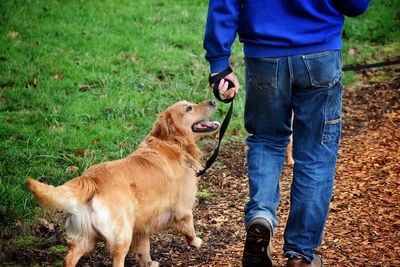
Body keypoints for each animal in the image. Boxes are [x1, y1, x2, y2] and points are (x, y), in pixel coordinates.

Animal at [26, 100, 220, 267]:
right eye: (189, 108)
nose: (213, 101)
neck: (172, 142)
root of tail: (90, 179)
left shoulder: (142, 224)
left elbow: (144, 247)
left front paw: (148, 262)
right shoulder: (183, 207)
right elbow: (189, 227)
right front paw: (195, 242)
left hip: (85, 238)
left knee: (69, 258)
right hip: (122, 235)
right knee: (117, 260)